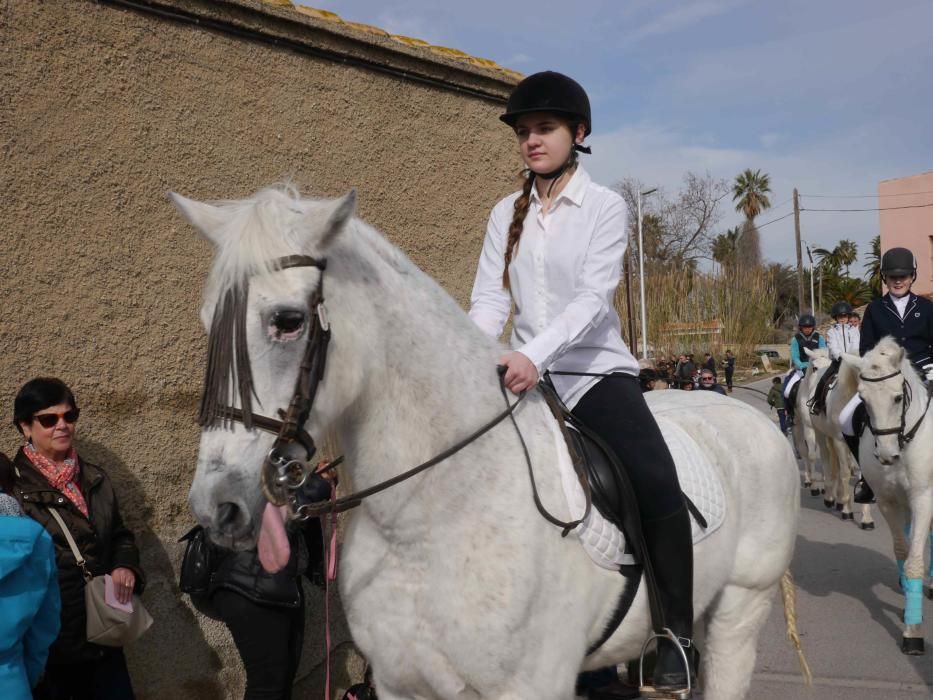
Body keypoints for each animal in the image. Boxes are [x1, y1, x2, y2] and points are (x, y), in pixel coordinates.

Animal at [175, 186, 800, 700]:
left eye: (286, 321)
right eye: (208, 324)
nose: (216, 506)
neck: (434, 519)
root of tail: (744, 412)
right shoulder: (403, 686)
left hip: (739, 610)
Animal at [844, 340, 932, 656]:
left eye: (897, 398)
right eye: (863, 399)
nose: (885, 455)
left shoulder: (924, 498)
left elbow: (916, 559)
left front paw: (913, 633)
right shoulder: (887, 501)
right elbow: (902, 550)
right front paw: (908, 607)